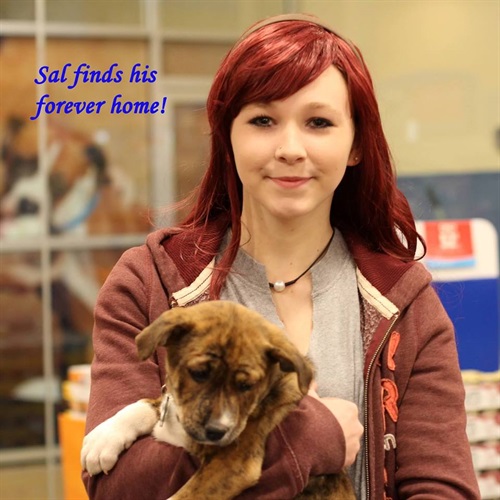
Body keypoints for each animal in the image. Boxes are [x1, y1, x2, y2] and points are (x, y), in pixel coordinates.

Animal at [81, 301, 355, 499]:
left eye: (246, 386)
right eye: (199, 373)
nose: (216, 431)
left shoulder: (233, 464)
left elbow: (181, 498)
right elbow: (144, 404)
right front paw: (103, 439)